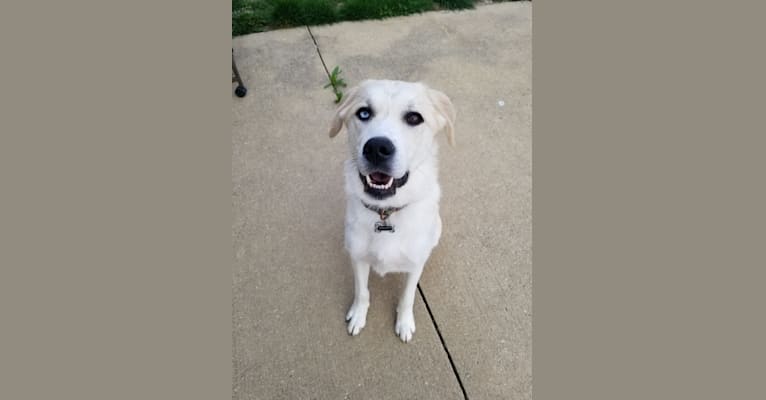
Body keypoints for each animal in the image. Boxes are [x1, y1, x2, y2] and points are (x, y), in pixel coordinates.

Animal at [328, 79, 456, 342]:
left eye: (414, 117)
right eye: (363, 113)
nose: (377, 147)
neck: (386, 213)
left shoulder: (415, 265)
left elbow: (407, 297)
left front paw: (404, 323)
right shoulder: (357, 258)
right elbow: (362, 292)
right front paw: (358, 315)